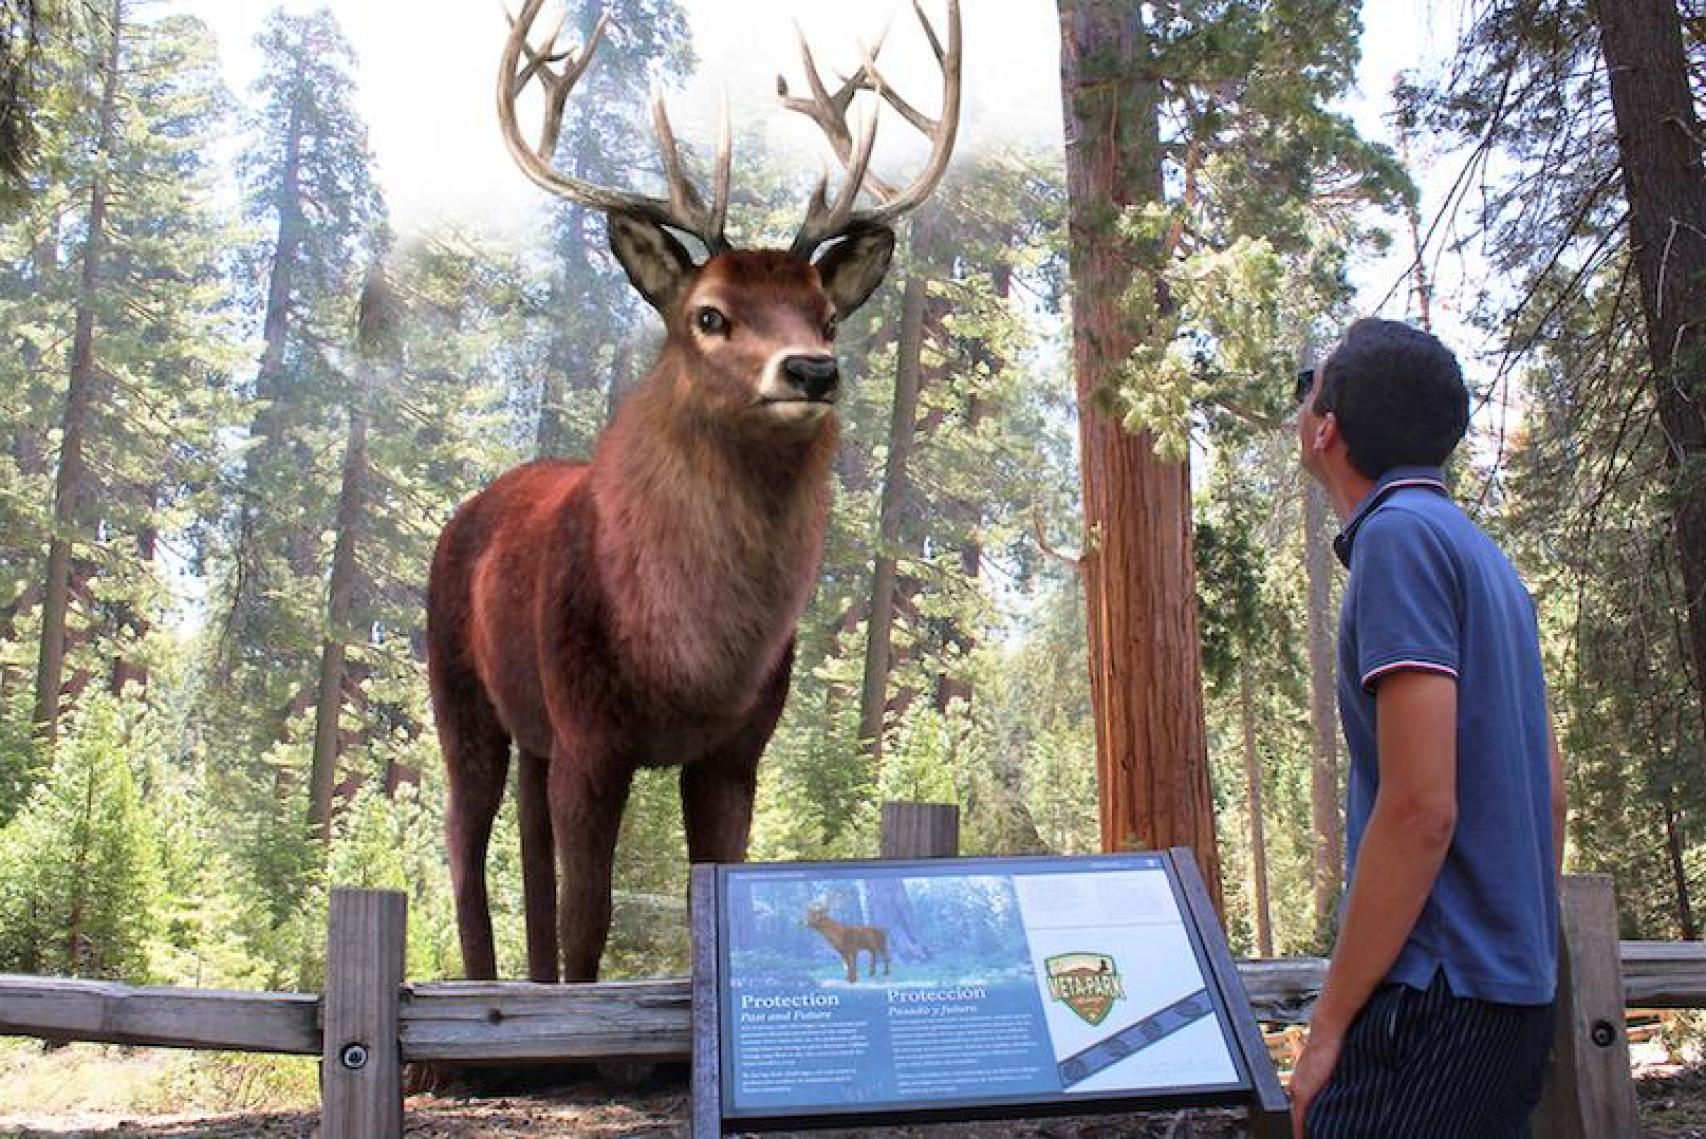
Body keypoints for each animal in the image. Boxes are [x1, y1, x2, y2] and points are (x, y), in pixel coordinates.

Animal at [427, 0, 961, 984]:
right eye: (709, 314)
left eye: (828, 316)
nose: (812, 369)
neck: (690, 656)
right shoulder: (592, 734)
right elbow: (591, 917)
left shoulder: (736, 748)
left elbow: (707, 893)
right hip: (462, 690)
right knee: (464, 840)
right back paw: (483, 986)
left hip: (534, 728)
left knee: (527, 848)